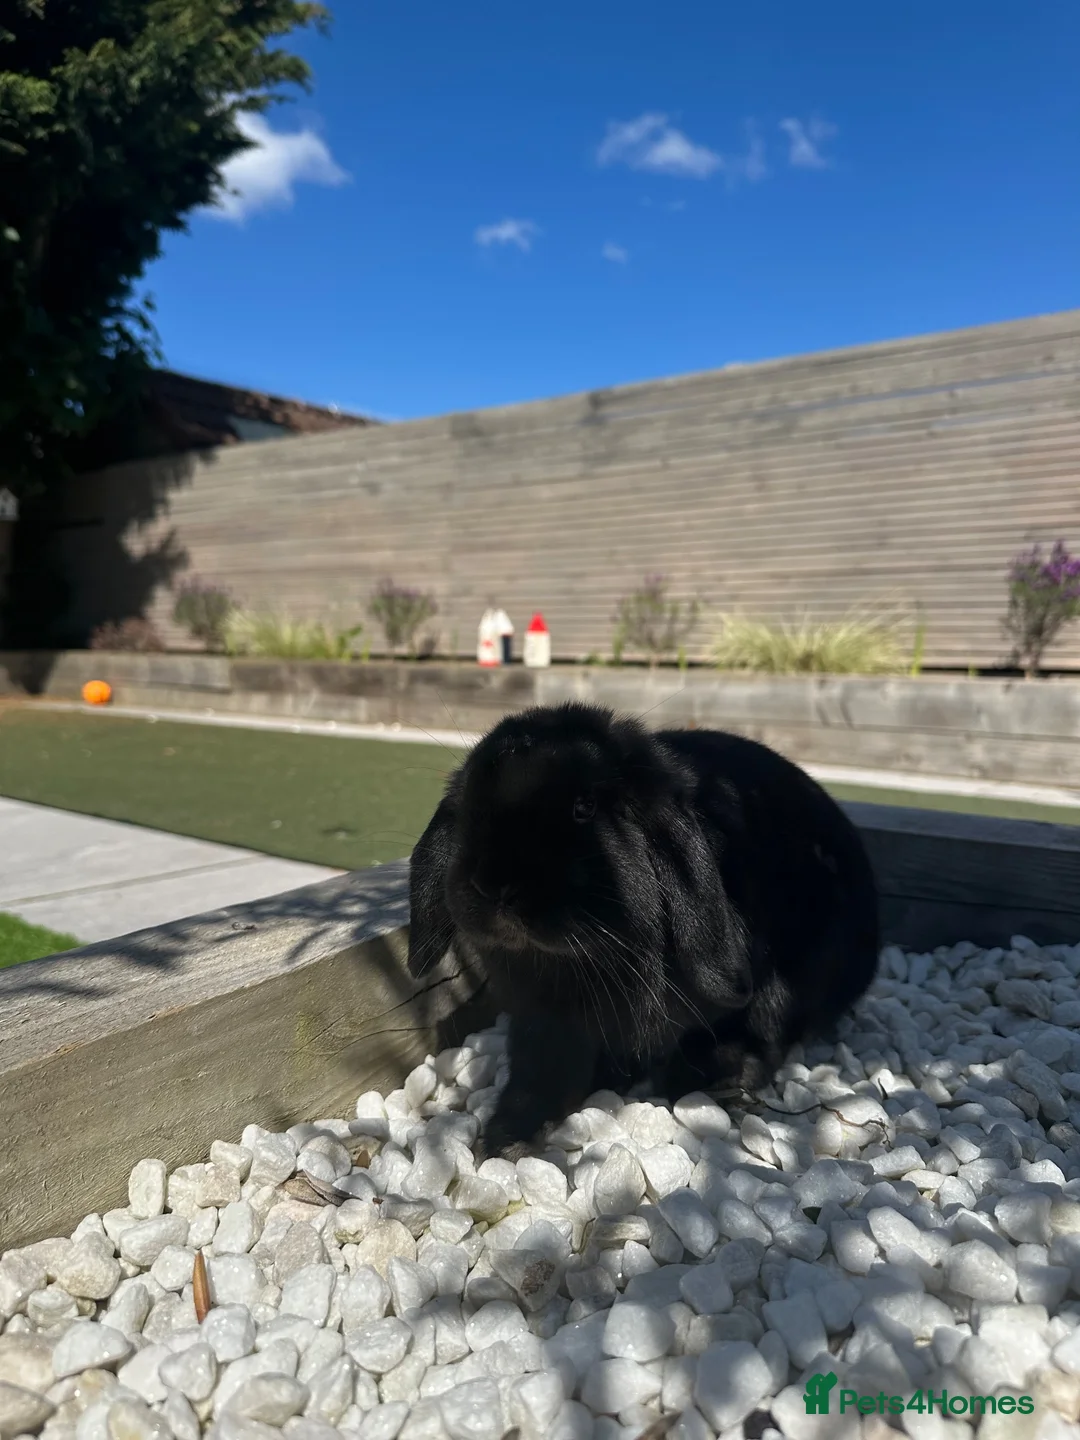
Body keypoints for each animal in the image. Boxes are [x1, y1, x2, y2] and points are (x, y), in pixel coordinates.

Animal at [407, 700, 879, 1160]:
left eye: (584, 808)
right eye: (468, 807)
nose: (493, 885)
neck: (590, 958)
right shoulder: (544, 1021)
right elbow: (542, 1075)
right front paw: (505, 1139)